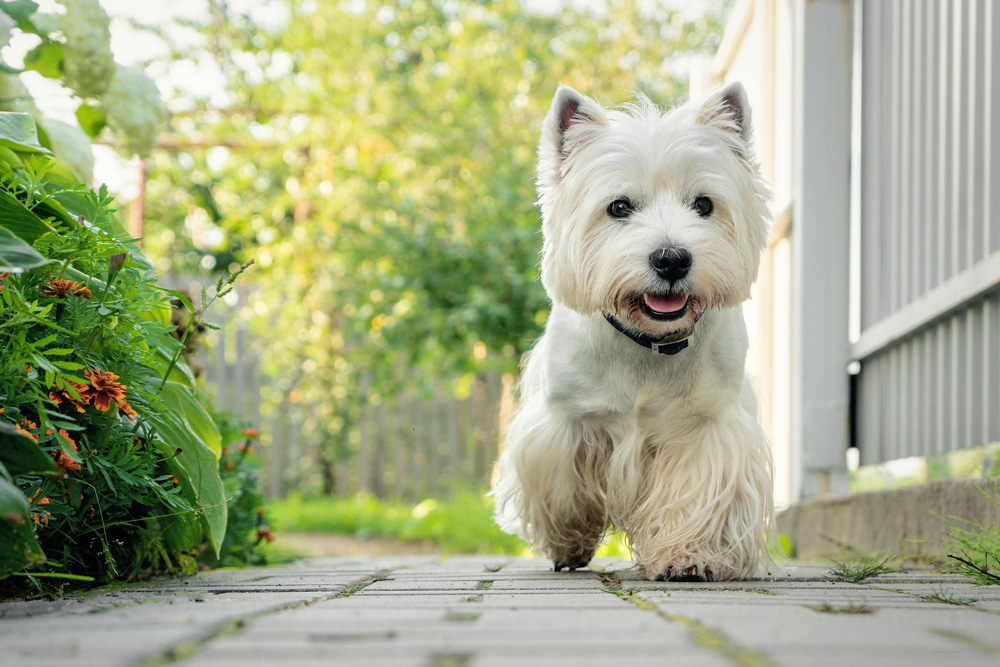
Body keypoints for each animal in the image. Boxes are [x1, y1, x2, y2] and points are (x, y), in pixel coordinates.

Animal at [492, 83, 772, 580]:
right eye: (619, 206)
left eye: (704, 204)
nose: (672, 259)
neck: (649, 342)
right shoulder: (565, 423)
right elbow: (564, 489)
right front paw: (569, 541)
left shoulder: (706, 425)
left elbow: (694, 493)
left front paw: (688, 556)